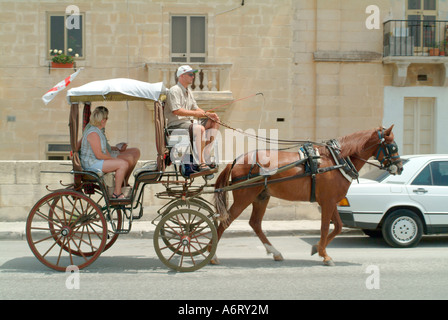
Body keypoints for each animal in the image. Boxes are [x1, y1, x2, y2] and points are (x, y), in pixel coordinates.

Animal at [212, 125, 404, 264]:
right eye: (392, 146)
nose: (400, 168)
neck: (336, 160)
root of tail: (237, 160)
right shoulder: (327, 202)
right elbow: (325, 227)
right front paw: (324, 255)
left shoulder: (330, 201)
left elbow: (338, 226)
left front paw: (317, 248)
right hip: (245, 196)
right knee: (226, 221)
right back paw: (212, 255)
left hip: (261, 196)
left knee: (255, 223)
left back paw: (275, 252)